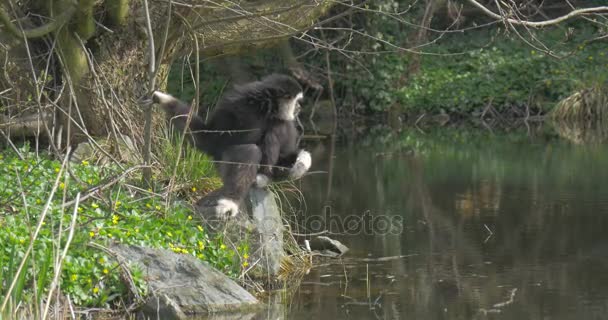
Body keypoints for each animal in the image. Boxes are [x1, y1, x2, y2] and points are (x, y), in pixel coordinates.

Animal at [151, 73, 312, 218]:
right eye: (297, 101)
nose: (299, 107)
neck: (265, 108)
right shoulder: (232, 104)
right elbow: (209, 139)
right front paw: (163, 99)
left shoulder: (288, 121)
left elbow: (287, 153)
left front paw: (302, 163)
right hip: (223, 167)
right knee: (251, 149)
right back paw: (232, 200)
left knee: (278, 126)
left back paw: (264, 177)